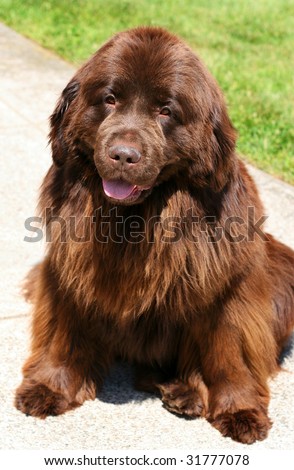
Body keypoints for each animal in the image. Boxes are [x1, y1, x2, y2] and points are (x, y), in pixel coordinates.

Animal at [15, 26, 294, 444]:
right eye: (110, 99)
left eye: (166, 110)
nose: (123, 154)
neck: (137, 219)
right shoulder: (68, 270)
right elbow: (65, 331)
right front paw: (49, 386)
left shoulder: (230, 291)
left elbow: (230, 353)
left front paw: (240, 409)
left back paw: (186, 391)